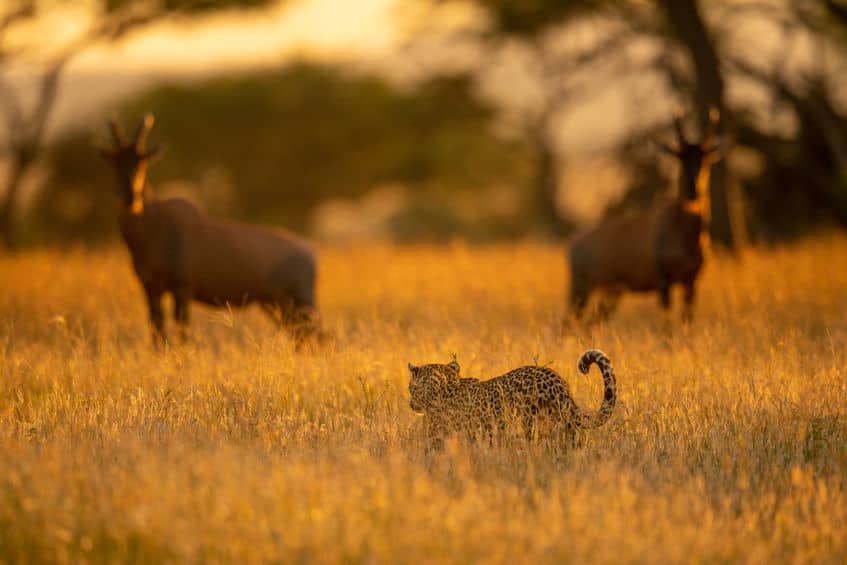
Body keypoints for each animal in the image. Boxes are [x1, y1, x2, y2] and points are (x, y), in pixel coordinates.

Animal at [98, 112, 322, 344]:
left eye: (143, 162)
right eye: (115, 162)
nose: (131, 199)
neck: (156, 224)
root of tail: (309, 252)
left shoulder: (182, 289)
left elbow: (182, 331)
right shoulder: (151, 290)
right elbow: (157, 330)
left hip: (301, 302)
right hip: (278, 305)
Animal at [568, 108, 724, 324]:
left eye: (705, 157)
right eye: (679, 156)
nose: (693, 192)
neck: (682, 230)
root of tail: (574, 243)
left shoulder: (691, 282)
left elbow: (687, 318)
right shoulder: (663, 282)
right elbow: (666, 323)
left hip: (612, 293)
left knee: (593, 321)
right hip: (581, 289)